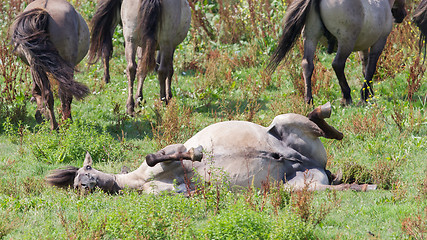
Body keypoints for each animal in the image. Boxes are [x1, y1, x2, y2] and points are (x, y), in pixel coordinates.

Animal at [10, 0, 90, 129]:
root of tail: (43, 10)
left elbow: (37, 91)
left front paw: (40, 115)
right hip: (66, 66)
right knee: (64, 94)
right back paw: (64, 122)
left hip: (35, 64)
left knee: (48, 94)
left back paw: (53, 125)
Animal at [45, 102, 376, 193]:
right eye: (76, 184)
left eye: (87, 168)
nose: (86, 184)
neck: (139, 181)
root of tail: (315, 166)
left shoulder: (172, 148)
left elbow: (159, 155)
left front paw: (197, 153)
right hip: (300, 186)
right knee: (335, 188)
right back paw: (364, 186)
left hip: (286, 122)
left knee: (317, 124)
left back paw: (325, 112)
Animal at [268, 0, 408, 105]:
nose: (403, 14)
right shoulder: (379, 42)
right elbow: (371, 69)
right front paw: (364, 96)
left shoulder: (363, 47)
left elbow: (365, 68)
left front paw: (370, 93)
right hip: (346, 41)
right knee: (338, 64)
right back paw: (347, 97)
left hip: (310, 38)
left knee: (307, 65)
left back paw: (309, 100)